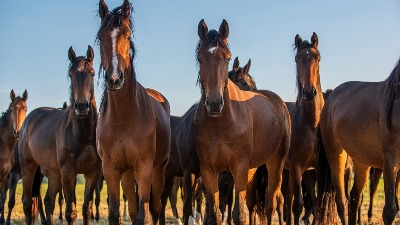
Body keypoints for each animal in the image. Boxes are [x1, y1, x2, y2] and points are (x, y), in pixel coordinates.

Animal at [18, 46, 101, 225]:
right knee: (28, 203)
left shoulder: (92, 173)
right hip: (28, 168)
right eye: (71, 74)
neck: (83, 135)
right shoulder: (68, 173)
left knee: (48, 202)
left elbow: (87, 209)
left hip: (53, 174)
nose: (81, 106)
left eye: (91, 73)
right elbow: (71, 212)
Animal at [97, 0, 171, 224]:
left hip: (158, 171)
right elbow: (115, 213)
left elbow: (142, 215)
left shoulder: (144, 168)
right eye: (100, 36)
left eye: (128, 36)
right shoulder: (111, 169)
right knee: (131, 207)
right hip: (127, 174)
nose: (114, 79)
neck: (123, 117)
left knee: (155, 208)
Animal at [195, 19, 290, 225]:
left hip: (275, 164)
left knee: (271, 204)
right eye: (199, 58)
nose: (214, 103)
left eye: (228, 58)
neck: (221, 125)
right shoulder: (209, 171)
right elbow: (215, 213)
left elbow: (238, 214)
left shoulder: (238, 168)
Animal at [318, 53, 400, 224]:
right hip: (336, 156)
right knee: (342, 201)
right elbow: (389, 210)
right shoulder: (391, 160)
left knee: (355, 198)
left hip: (362, 161)